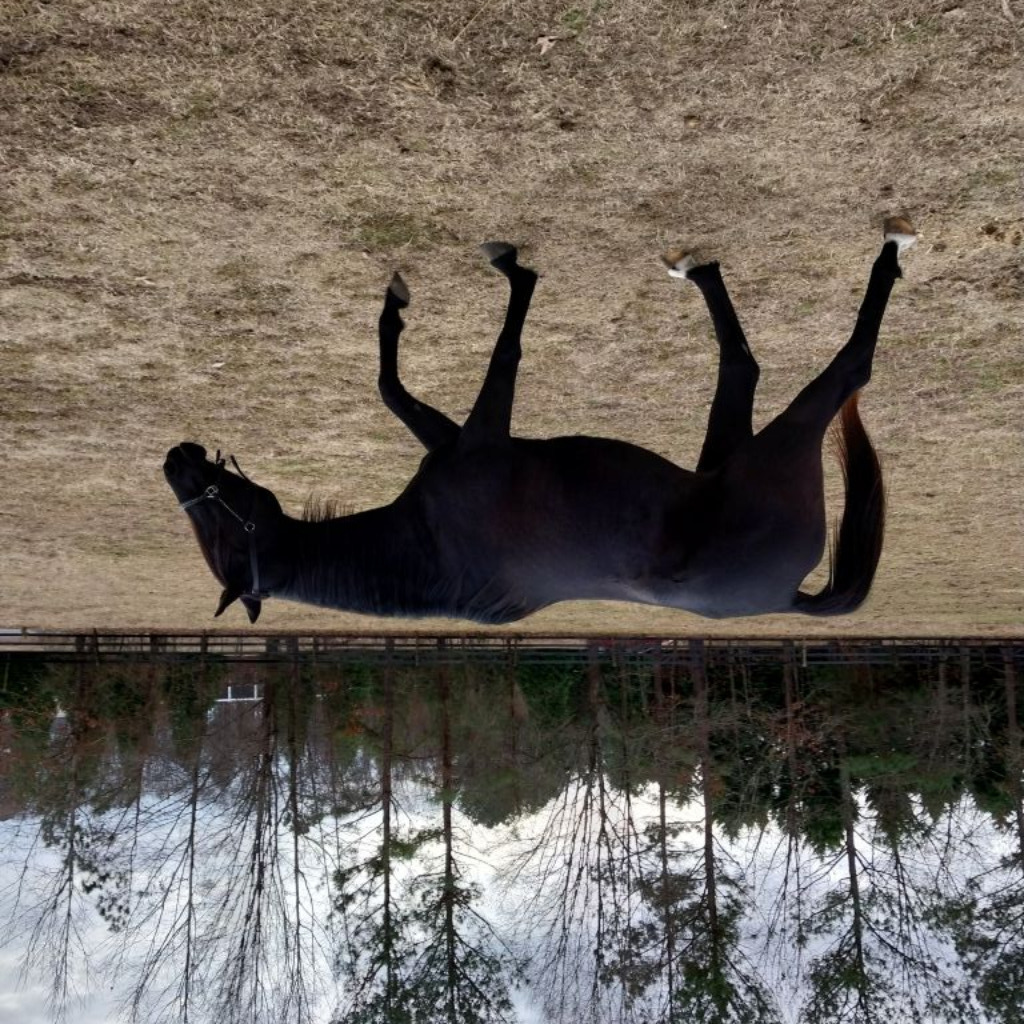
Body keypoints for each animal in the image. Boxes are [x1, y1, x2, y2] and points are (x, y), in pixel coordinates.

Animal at [163, 219, 916, 625]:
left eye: (222, 525)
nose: (174, 461)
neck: (427, 548)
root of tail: (788, 596)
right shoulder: (478, 436)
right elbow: (504, 344)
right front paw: (513, 271)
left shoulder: (457, 437)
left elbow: (392, 384)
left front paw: (403, 303)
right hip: (763, 448)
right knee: (828, 369)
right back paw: (884, 250)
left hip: (733, 450)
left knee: (753, 363)